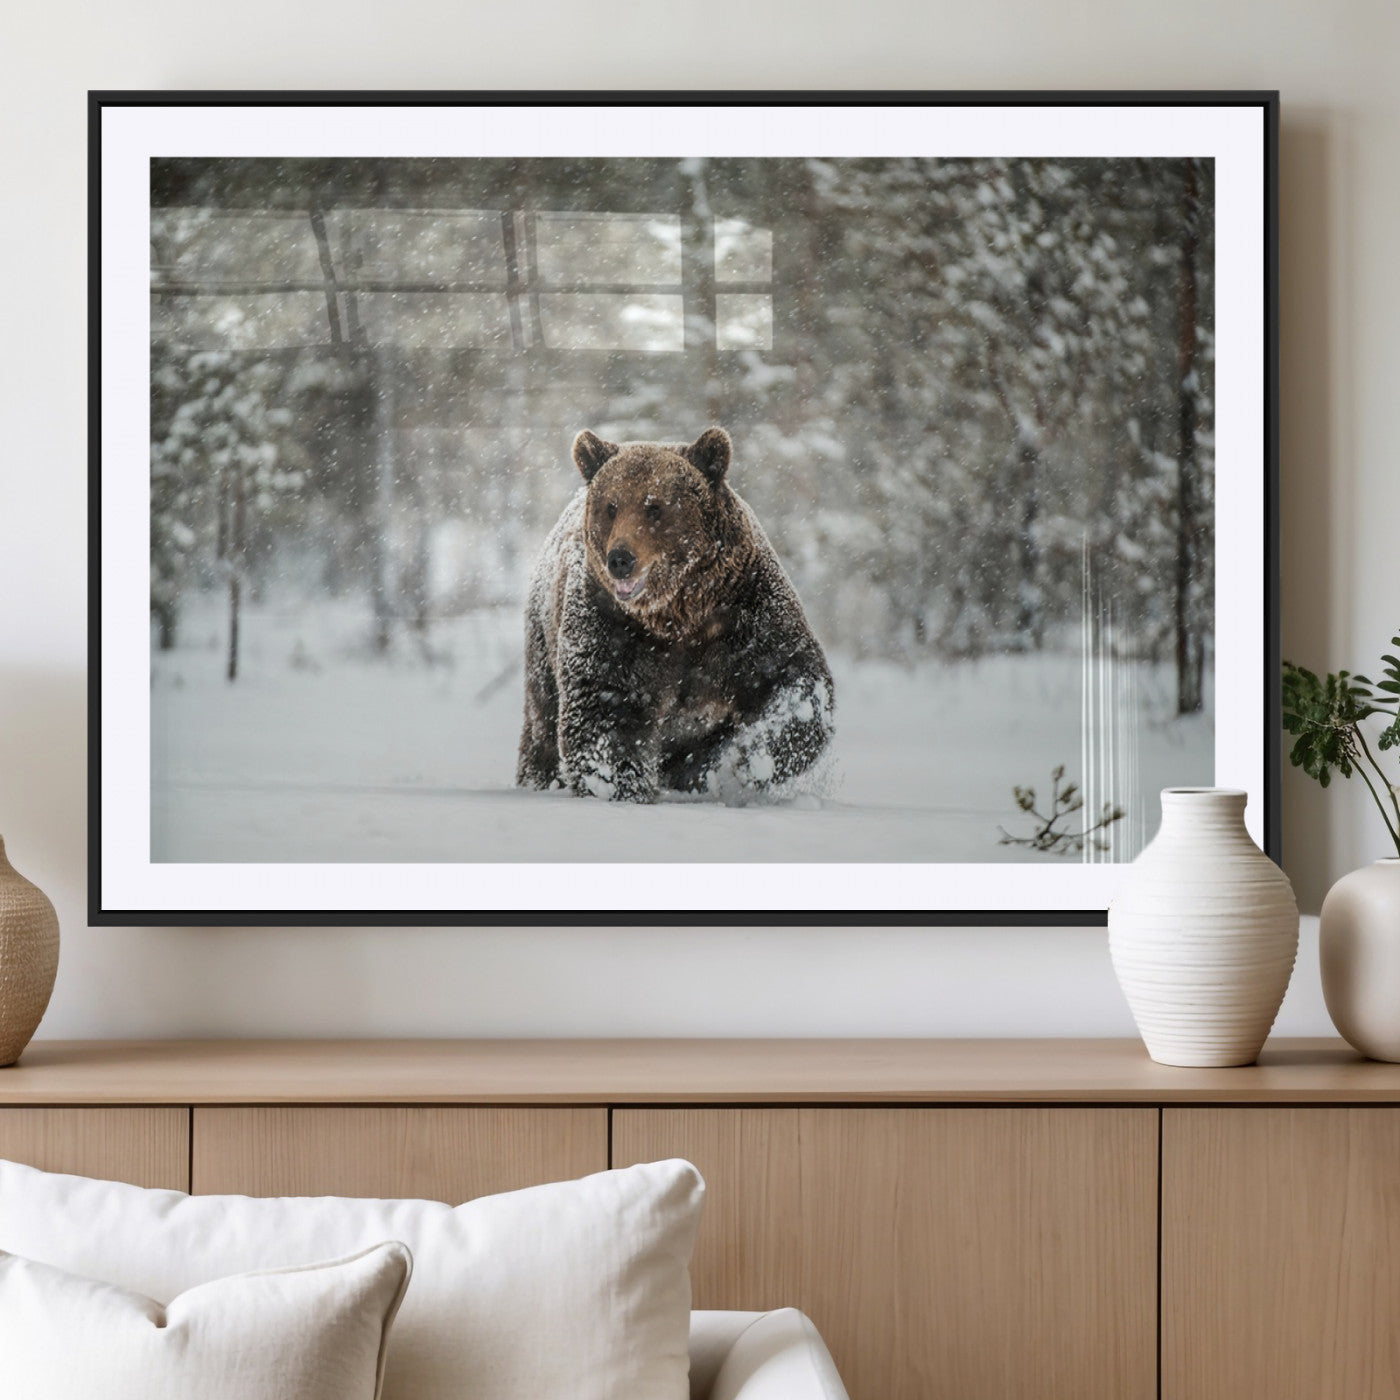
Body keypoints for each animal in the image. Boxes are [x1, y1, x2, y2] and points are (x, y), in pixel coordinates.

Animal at [516, 427, 834, 803]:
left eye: (654, 506)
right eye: (611, 506)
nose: (620, 559)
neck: (678, 614)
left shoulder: (746, 612)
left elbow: (793, 679)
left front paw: (747, 761)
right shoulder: (612, 626)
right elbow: (604, 709)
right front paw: (622, 787)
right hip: (543, 640)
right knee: (543, 724)